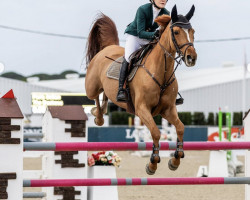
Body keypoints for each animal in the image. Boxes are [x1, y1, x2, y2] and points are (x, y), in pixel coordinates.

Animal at [85, 5, 197, 175]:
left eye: (192, 32)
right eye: (177, 32)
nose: (192, 58)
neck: (161, 71)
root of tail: (108, 47)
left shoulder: (168, 109)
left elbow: (180, 128)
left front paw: (175, 160)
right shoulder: (142, 109)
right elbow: (156, 132)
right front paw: (152, 164)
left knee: (104, 95)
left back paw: (101, 111)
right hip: (91, 87)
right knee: (95, 96)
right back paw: (98, 117)